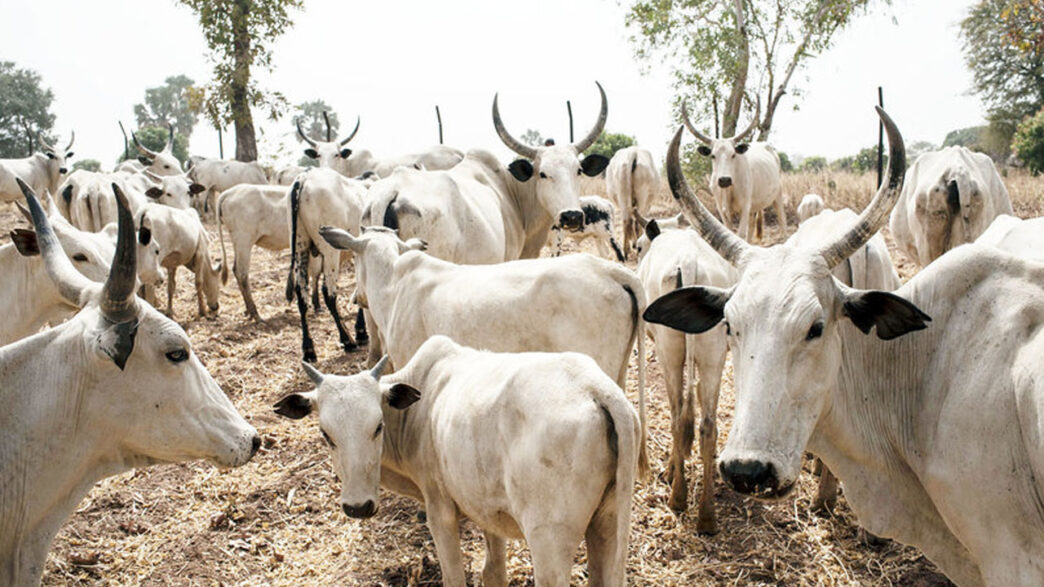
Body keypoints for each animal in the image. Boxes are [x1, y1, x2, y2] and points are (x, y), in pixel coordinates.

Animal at [216, 183, 321, 320]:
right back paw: (255, 313)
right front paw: (316, 305)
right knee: (241, 273)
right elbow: (316, 273)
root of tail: (228, 192)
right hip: (244, 240)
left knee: (236, 270)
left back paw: (248, 311)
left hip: (238, 243)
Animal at [274, 336, 640, 586]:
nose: (358, 507)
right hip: (607, 525)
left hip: (549, 541)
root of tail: (596, 388)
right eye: (326, 434)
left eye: (377, 426)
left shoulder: (440, 510)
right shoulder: (489, 509)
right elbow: (493, 572)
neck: (418, 409)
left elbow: (454, 576)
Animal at [285, 168, 369, 362]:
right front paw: (361, 331)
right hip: (330, 252)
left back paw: (309, 349)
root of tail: (304, 177)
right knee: (328, 293)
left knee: (302, 294)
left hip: (300, 247)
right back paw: (347, 340)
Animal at [635, 213, 736, 532]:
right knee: (707, 425)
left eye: (638, 246)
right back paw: (707, 516)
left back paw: (677, 497)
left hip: (669, 351)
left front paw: (670, 470)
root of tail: (690, 263)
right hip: (714, 353)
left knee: (679, 416)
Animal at [681, 100, 786, 242]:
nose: (724, 180)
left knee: (782, 219)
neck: (729, 190)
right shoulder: (722, 210)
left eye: (733, 155)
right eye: (713, 156)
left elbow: (740, 234)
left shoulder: (745, 207)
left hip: (777, 195)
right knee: (752, 226)